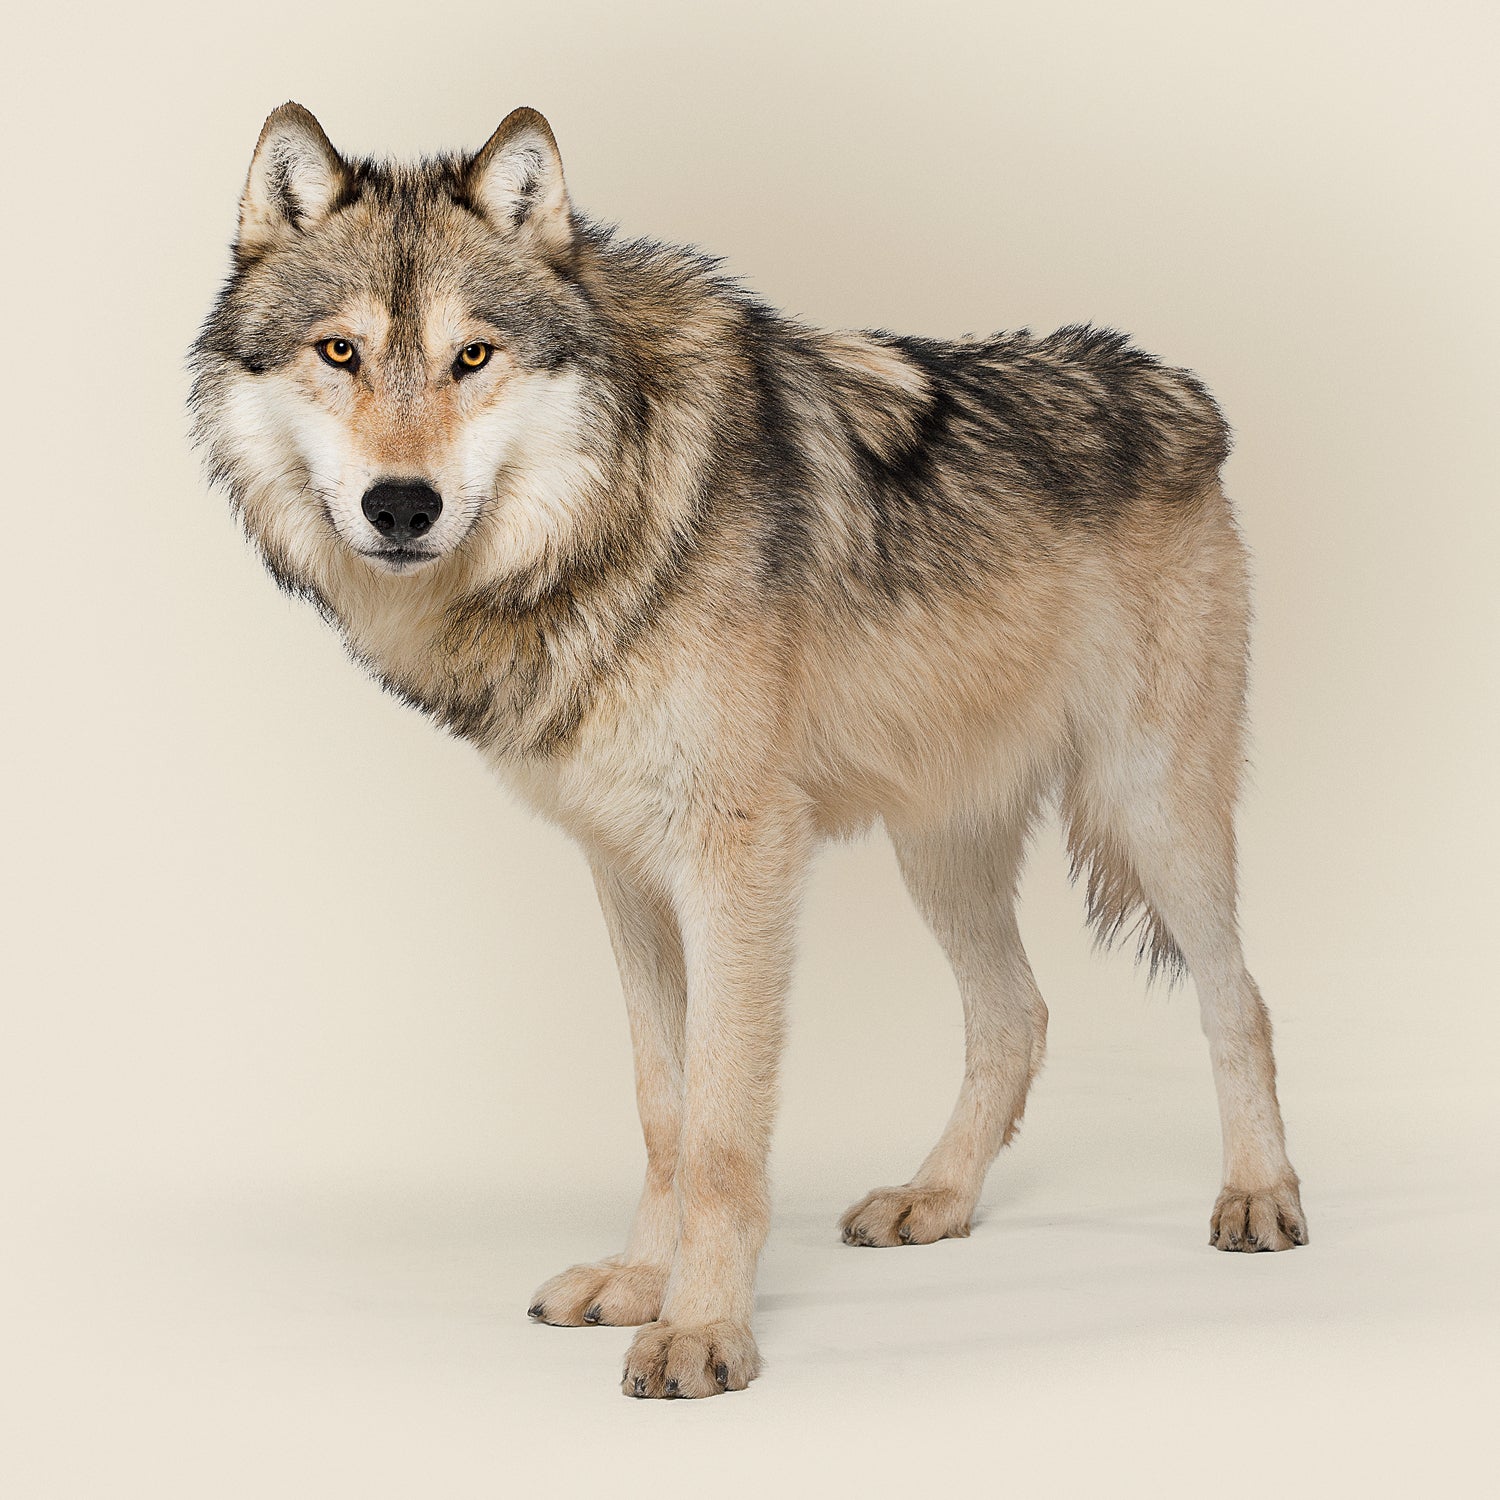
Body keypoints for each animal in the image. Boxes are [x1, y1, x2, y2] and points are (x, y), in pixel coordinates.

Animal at [190, 103, 1307, 1399]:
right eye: (340, 353)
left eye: (473, 356)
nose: (401, 506)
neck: (615, 514)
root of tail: (1176, 388)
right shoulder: (625, 872)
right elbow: (663, 1108)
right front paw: (639, 1283)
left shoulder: (737, 859)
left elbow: (723, 1130)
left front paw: (703, 1332)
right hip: (941, 849)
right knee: (1016, 1015)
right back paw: (937, 1198)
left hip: (1151, 812)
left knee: (1240, 999)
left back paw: (1260, 1197)